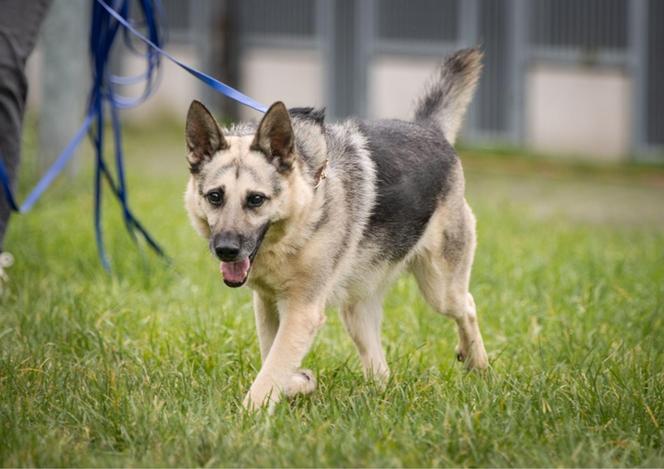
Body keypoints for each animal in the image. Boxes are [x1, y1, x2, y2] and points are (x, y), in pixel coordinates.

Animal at [184, 45, 490, 408]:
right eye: (215, 197)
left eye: (255, 200)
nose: (226, 250)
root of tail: (429, 130)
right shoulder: (268, 304)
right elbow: (274, 361)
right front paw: (300, 382)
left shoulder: (302, 312)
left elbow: (270, 372)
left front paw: (251, 412)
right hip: (356, 311)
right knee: (380, 369)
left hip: (440, 288)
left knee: (467, 306)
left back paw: (478, 362)